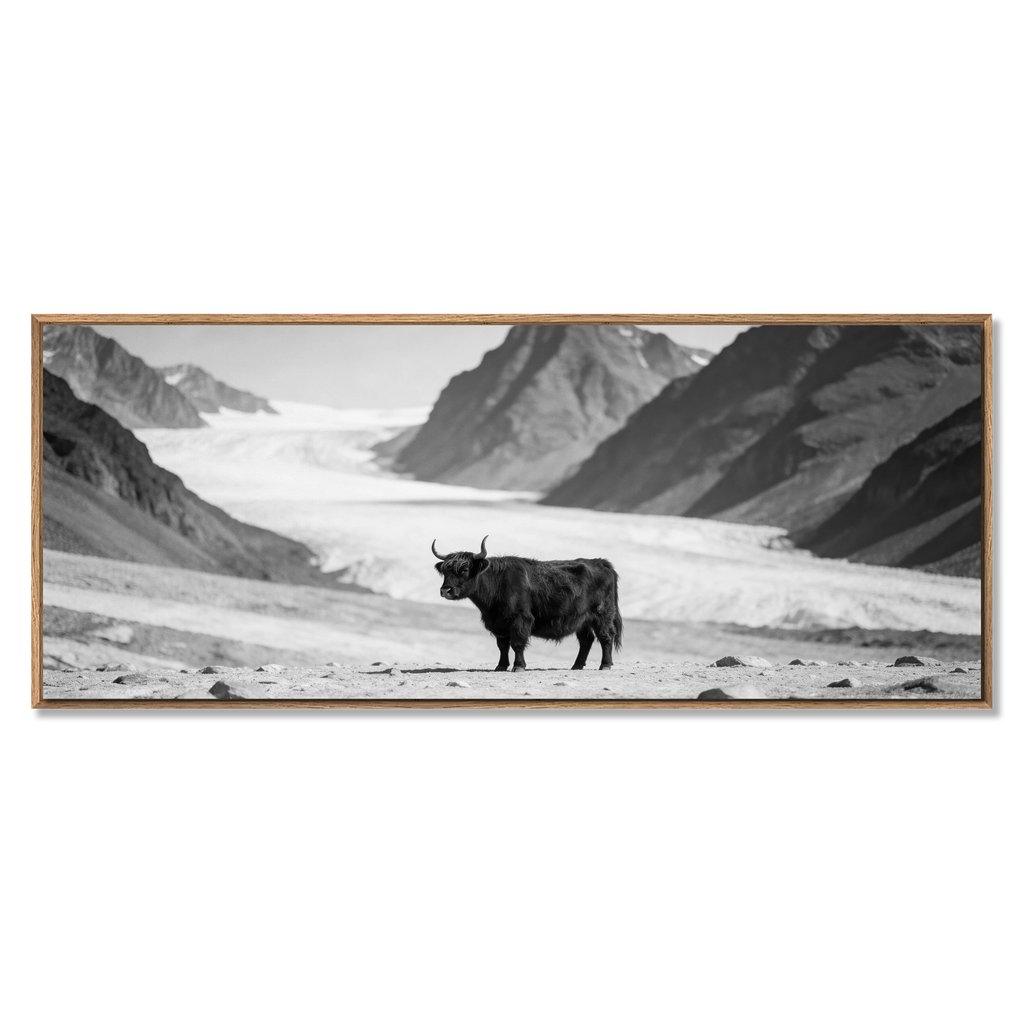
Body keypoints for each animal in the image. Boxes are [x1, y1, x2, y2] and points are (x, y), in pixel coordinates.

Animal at [432, 535, 622, 672]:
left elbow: (517, 643)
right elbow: (502, 646)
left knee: (606, 637)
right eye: (445, 570)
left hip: (602, 615)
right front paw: (500, 666)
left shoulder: (520, 619)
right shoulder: (498, 623)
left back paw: (605, 665)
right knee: (586, 640)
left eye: (464, 569)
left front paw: (518, 667)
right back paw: (576, 666)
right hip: (582, 619)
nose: (445, 590)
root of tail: (601, 562)